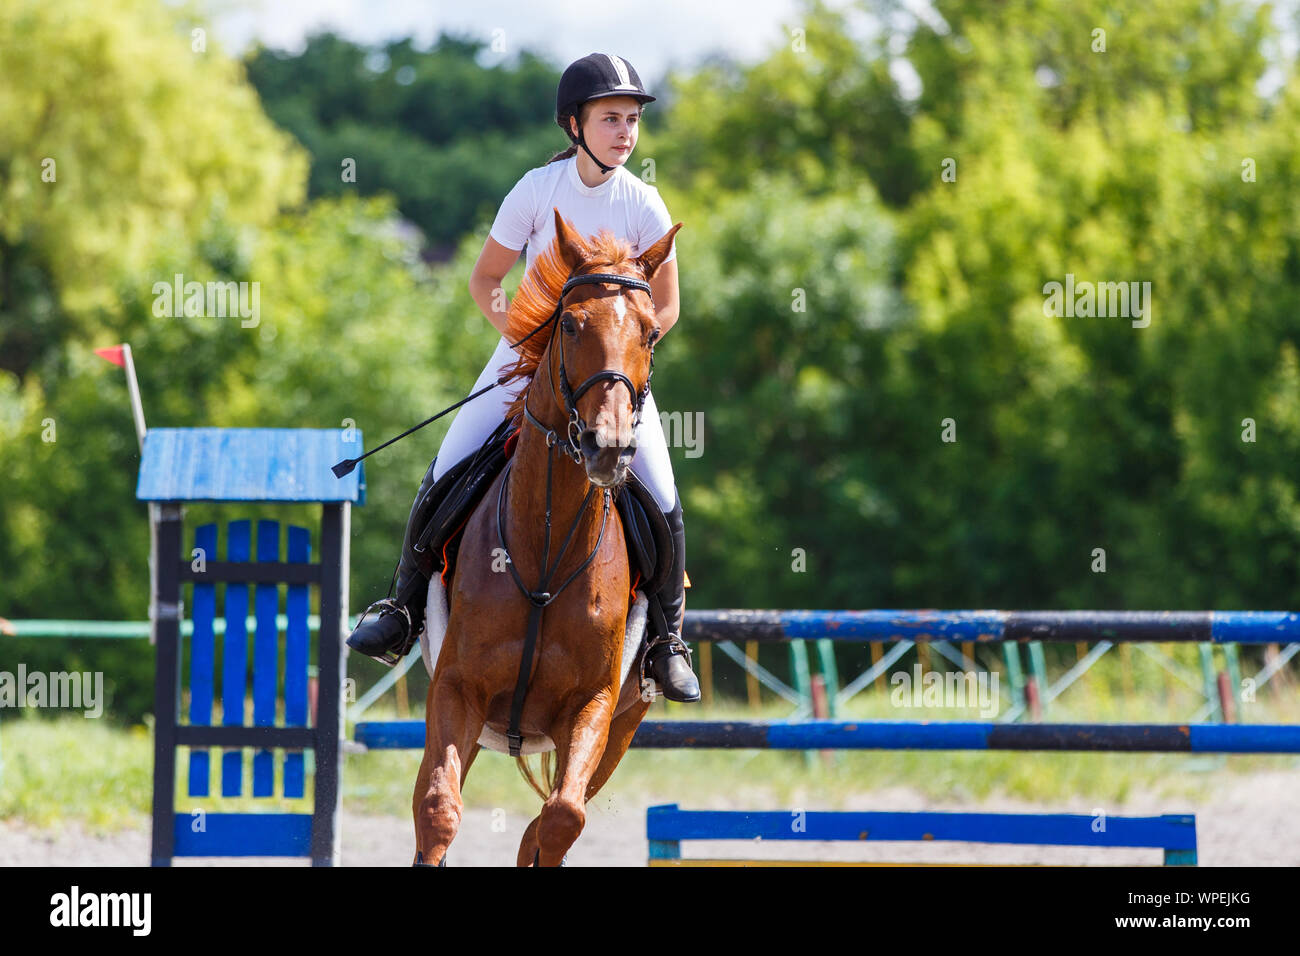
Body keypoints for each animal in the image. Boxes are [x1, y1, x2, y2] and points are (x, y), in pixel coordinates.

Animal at [413, 208, 683, 866]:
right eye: (569, 323)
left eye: (650, 334)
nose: (608, 447)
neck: (542, 554)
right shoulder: (456, 691)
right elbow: (438, 809)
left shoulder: (593, 708)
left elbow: (561, 818)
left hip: (622, 728)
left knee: (548, 818)